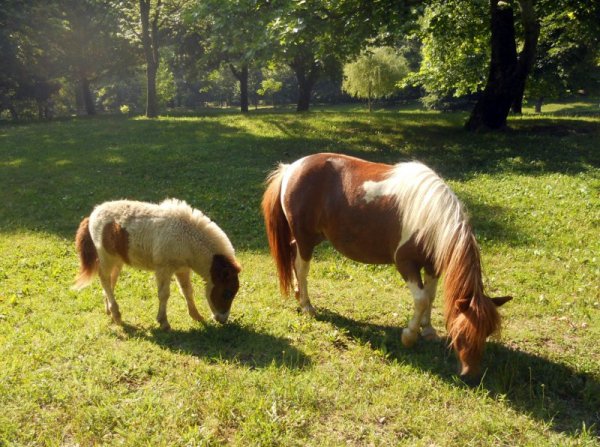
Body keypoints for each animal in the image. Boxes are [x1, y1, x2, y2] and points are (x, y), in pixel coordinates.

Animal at [74, 200, 241, 328]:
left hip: (117, 261)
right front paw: (163, 322)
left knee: (110, 281)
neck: (187, 239)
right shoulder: (163, 269)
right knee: (104, 279)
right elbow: (164, 294)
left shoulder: (182, 269)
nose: (222, 319)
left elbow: (187, 291)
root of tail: (92, 216)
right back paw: (117, 315)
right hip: (106, 258)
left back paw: (109, 310)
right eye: (227, 292)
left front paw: (197, 316)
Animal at [262, 153, 510, 378]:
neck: (431, 218)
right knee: (302, 268)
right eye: (462, 334)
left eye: (487, 332)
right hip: (306, 239)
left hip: (309, 238)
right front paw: (409, 336)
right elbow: (421, 299)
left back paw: (298, 296)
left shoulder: (432, 266)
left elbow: (430, 297)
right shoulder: (406, 264)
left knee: (294, 259)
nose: (471, 374)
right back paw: (307, 306)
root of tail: (291, 168)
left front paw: (428, 329)